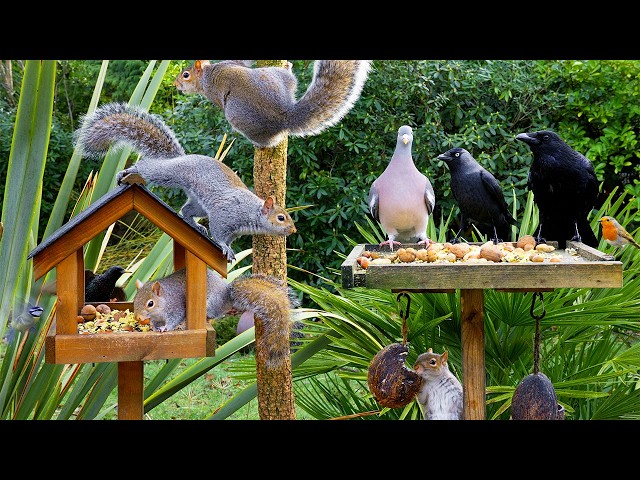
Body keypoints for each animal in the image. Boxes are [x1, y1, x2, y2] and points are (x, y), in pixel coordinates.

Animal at [74, 102, 297, 262]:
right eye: (281, 218)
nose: (293, 230)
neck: (252, 211)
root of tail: (182, 158)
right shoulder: (226, 214)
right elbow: (219, 232)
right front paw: (225, 248)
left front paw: (228, 247)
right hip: (170, 174)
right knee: (149, 168)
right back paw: (129, 171)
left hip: (199, 204)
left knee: (186, 210)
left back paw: (196, 226)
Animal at [133, 267, 300, 367]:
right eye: (134, 300)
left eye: (150, 303)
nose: (137, 317)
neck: (162, 304)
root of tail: (228, 297)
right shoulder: (157, 317)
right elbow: (155, 322)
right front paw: (154, 327)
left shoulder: (176, 308)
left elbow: (174, 319)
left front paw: (165, 328)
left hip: (210, 304)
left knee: (215, 315)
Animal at [174, 60, 372, 148]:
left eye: (185, 75)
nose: (175, 85)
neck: (207, 72)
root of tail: (284, 115)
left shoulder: (212, 90)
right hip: (275, 76)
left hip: (237, 115)